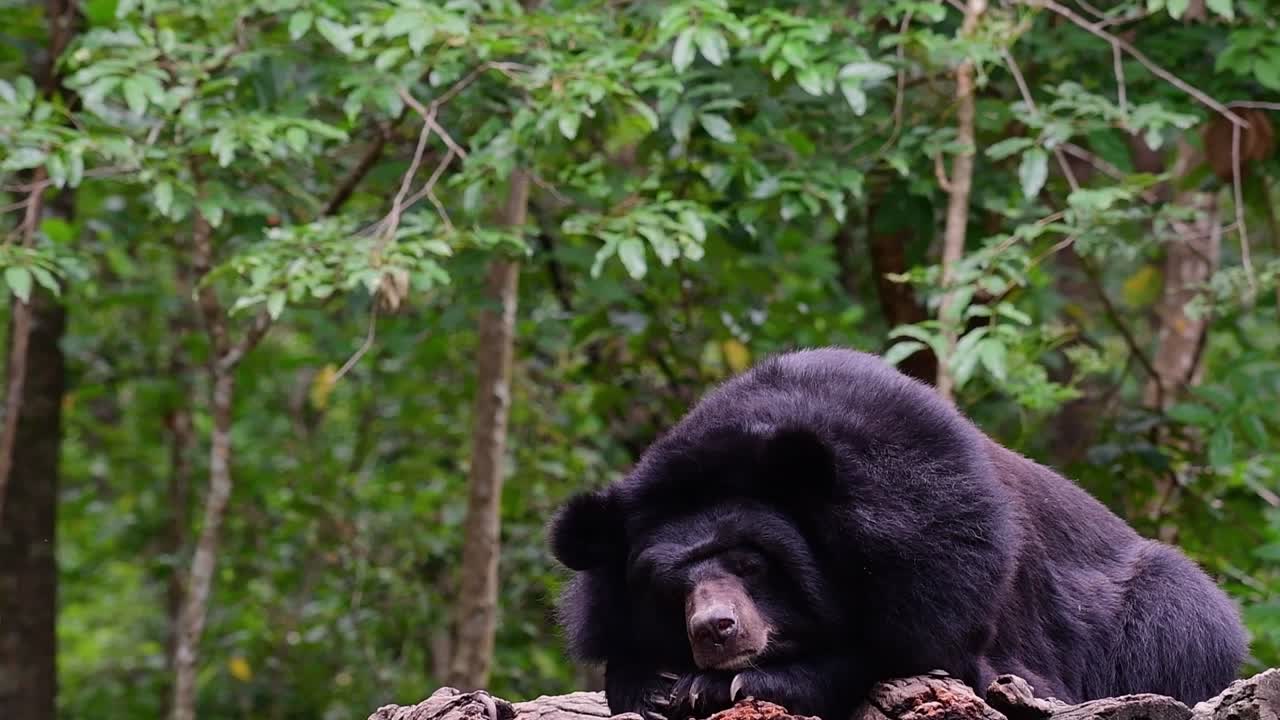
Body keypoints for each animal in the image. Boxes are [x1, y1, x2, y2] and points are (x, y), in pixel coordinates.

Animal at [547, 348, 1248, 720]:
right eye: (669, 588)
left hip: (1167, 620)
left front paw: (722, 685)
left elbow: (918, 655)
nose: (715, 631)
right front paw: (655, 684)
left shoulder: (943, 549)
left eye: (750, 562)